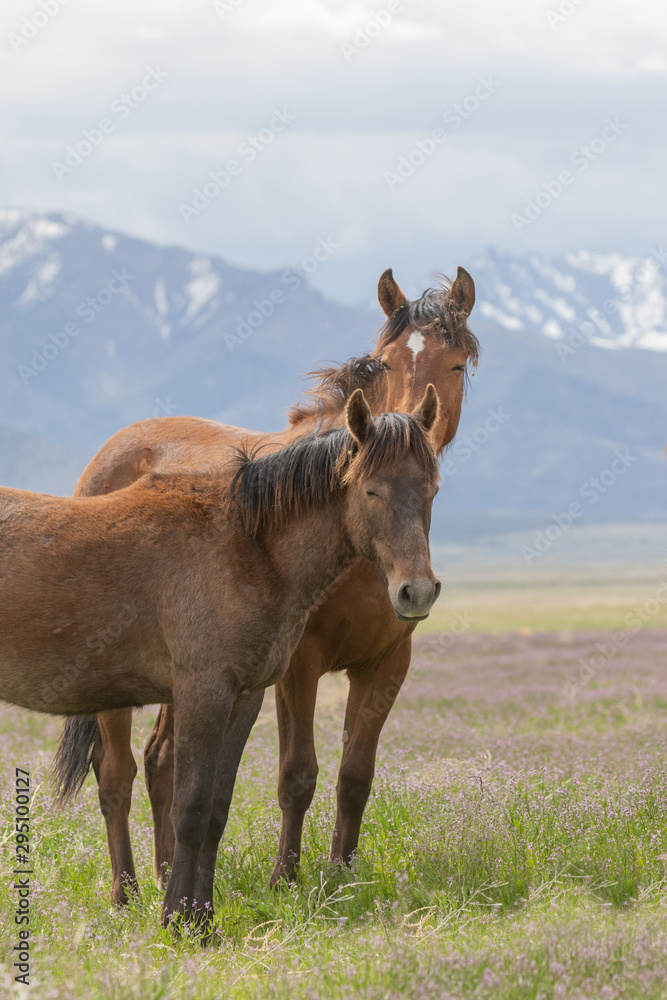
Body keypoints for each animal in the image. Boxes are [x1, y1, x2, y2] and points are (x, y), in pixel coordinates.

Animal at [0, 388, 441, 927]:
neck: (245, 546)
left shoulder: (244, 698)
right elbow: (189, 809)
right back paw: (126, 895)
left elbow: (215, 809)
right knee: (116, 780)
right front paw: (176, 919)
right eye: (372, 491)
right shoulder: (203, 693)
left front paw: (202, 919)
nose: (416, 592)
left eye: (431, 488)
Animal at [54, 266, 479, 902]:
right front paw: (286, 879)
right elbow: (297, 774)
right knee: (117, 774)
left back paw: (165, 875)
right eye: (384, 363)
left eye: (454, 365)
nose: (404, 429)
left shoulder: (385, 664)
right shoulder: (297, 665)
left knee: (160, 761)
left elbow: (355, 776)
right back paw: (126, 893)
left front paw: (341, 876)